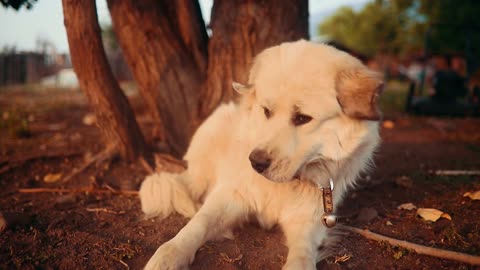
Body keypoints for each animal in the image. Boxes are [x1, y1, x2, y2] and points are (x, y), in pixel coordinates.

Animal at [139, 40, 382, 270]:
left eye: (302, 118)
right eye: (266, 111)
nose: (256, 163)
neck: (285, 185)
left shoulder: (310, 220)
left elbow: (302, 255)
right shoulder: (231, 194)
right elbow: (199, 223)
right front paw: (170, 253)